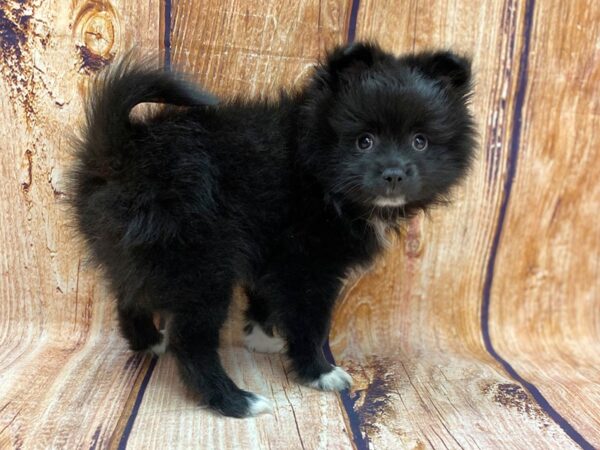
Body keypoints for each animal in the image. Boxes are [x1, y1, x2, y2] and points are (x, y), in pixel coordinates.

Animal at [70, 43, 476, 418]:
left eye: (419, 141)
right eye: (364, 141)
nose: (394, 174)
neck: (317, 172)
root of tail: (122, 152)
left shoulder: (271, 252)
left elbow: (263, 297)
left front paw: (261, 339)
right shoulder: (308, 266)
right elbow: (309, 324)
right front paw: (319, 372)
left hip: (133, 253)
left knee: (127, 299)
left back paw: (149, 342)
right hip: (201, 269)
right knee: (190, 342)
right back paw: (234, 400)